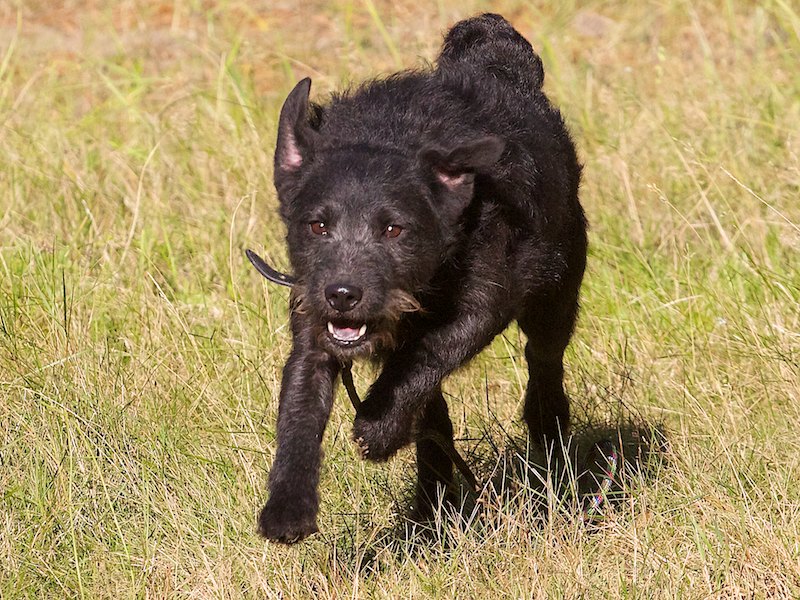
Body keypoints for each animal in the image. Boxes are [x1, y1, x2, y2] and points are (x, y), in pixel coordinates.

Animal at [257, 13, 587, 543]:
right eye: (318, 226)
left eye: (394, 229)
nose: (343, 295)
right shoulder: (312, 322)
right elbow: (299, 407)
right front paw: (288, 508)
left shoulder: (483, 305)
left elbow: (431, 350)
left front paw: (378, 428)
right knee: (434, 417)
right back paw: (430, 505)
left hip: (556, 297)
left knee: (543, 363)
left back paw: (548, 441)